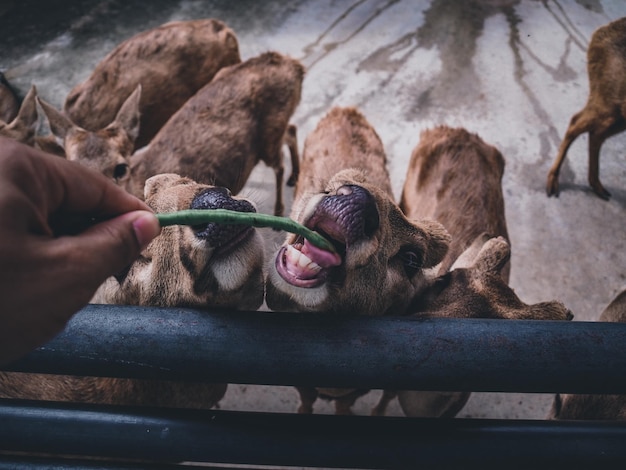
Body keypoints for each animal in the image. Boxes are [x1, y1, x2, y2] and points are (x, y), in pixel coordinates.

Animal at [544, 16, 624, 200]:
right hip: (610, 98)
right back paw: (553, 183)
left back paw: (599, 188)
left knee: (595, 132)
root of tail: (600, 31)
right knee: (578, 121)